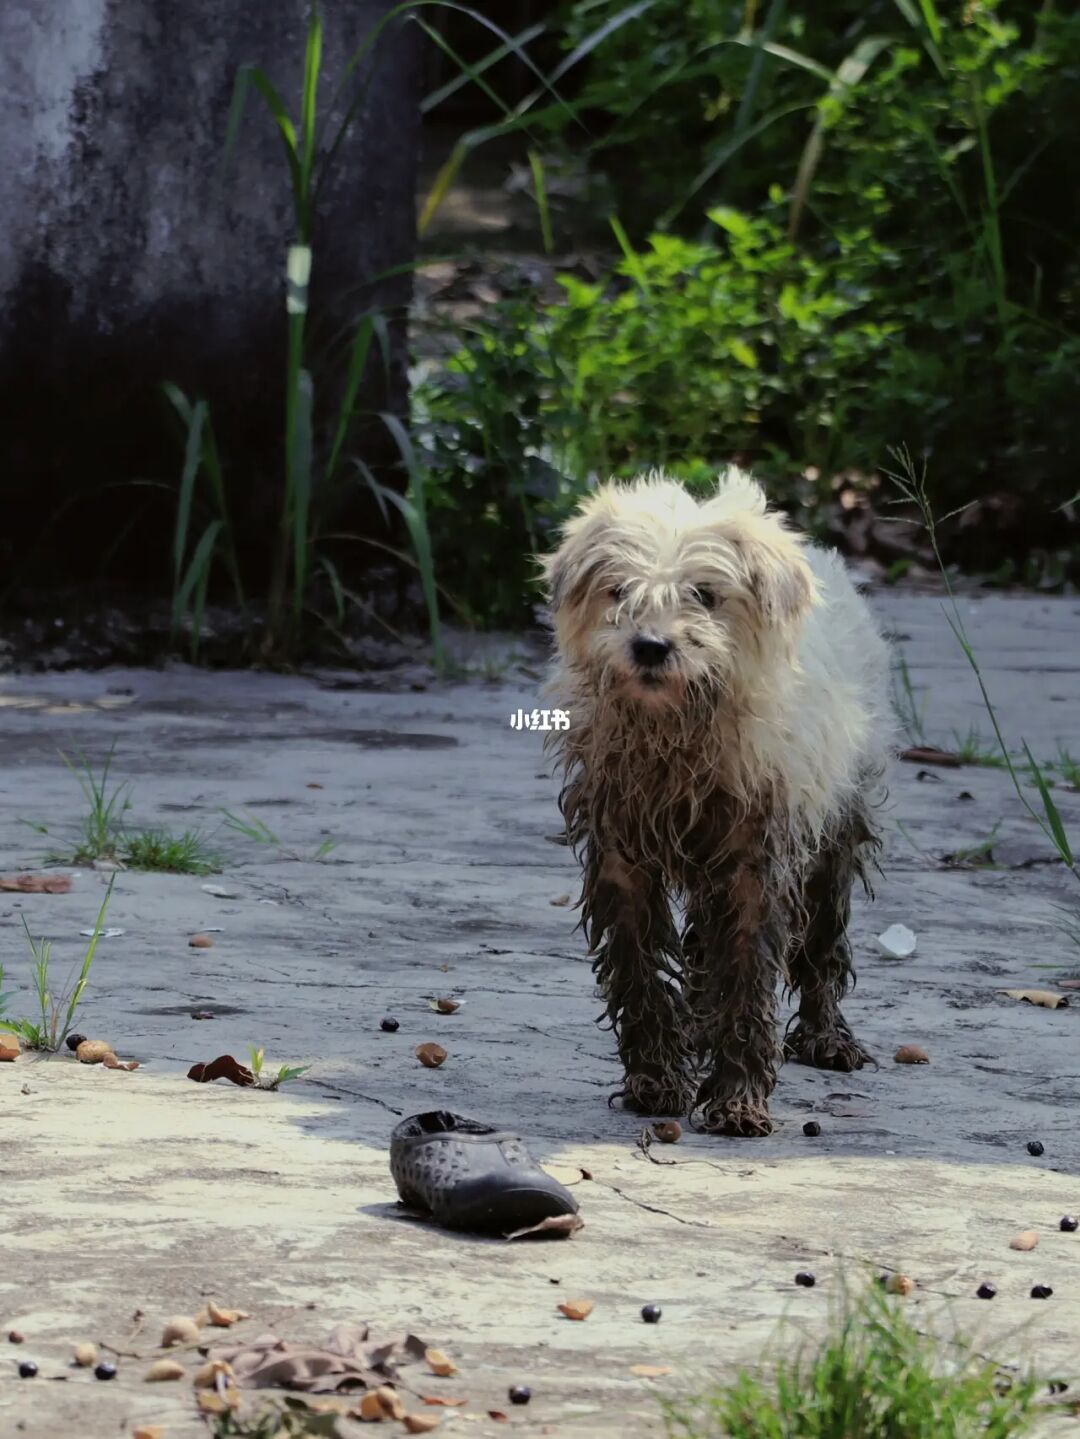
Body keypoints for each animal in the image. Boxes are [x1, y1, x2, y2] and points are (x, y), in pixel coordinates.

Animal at [543, 471, 891, 1133]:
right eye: (618, 591)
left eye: (704, 595)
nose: (651, 647)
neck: (679, 731)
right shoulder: (622, 854)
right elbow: (637, 970)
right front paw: (655, 1079)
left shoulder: (760, 859)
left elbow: (749, 977)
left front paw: (737, 1097)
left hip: (836, 830)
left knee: (823, 941)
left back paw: (827, 1035)